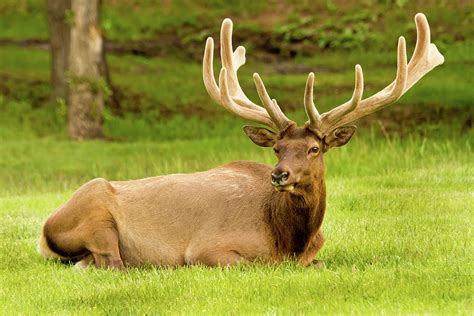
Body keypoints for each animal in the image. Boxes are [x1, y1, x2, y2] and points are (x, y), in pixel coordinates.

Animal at [38, 13, 444, 268]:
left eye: (313, 148)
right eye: (277, 149)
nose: (279, 174)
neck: (289, 242)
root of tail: (43, 231)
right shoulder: (208, 249)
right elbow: (251, 264)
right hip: (96, 214)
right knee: (112, 262)